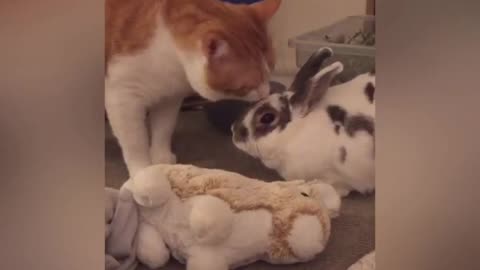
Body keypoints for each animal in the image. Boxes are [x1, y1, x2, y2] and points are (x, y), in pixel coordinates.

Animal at [105, 0, 282, 176]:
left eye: (270, 72)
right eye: (246, 86)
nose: (266, 92)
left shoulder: (170, 97)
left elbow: (164, 127)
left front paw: (161, 159)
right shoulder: (123, 97)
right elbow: (135, 143)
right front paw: (143, 171)